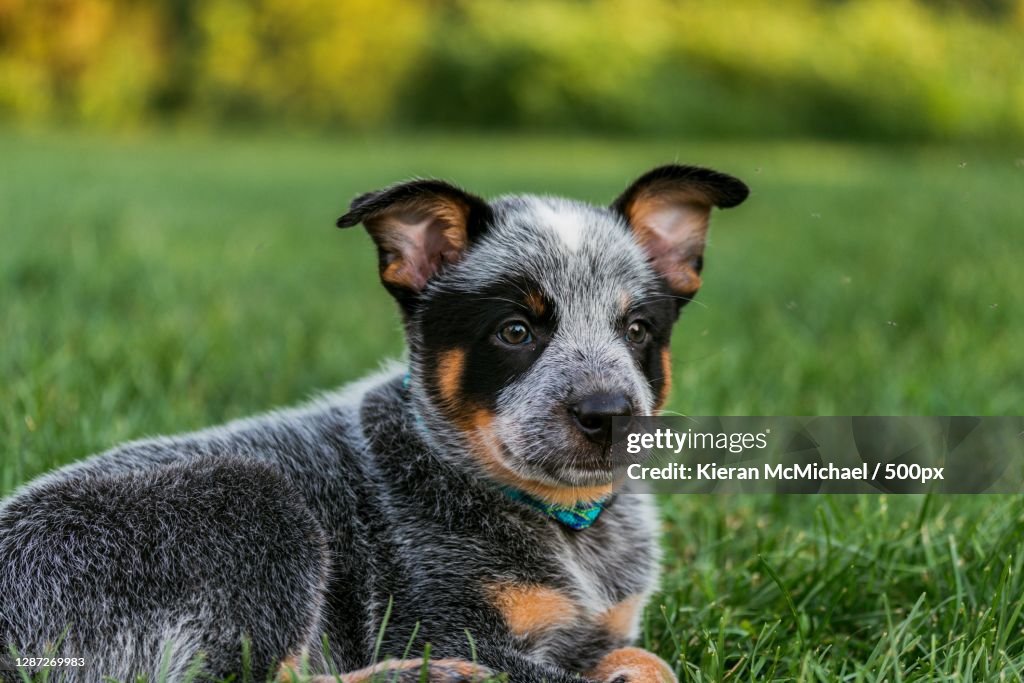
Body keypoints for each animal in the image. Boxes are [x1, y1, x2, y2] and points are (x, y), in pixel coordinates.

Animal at [0, 165, 753, 683]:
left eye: (637, 330)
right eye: (514, 331)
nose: (607, 412)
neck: (568, 525)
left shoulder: (608, 623)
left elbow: (645, 656)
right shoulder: (441, 621)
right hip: (254, 504)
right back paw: (432, 679)